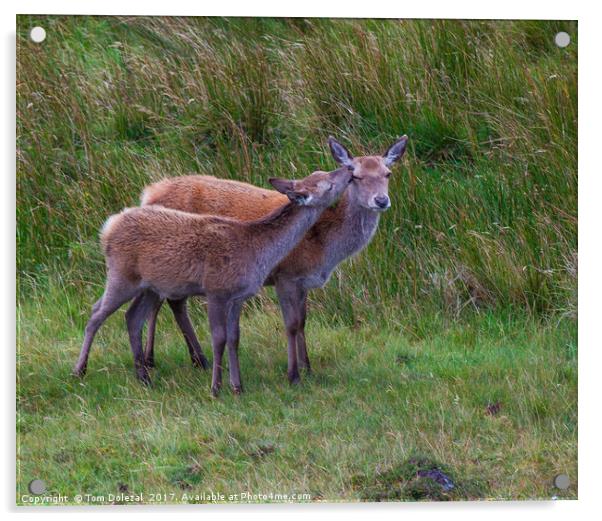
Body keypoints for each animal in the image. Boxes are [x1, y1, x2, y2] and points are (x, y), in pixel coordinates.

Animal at [71, 169, 352, 396]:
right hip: (122, 275)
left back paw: (144, 377)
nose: (348, 170)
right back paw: (79, 371)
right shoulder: (216, 289)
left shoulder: (239, 296)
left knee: (132, 317)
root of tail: (107, 227)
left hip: (149, 286)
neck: (257, 251)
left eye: (321, 172)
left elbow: (234, 338)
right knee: (96, 313)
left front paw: (238, 387)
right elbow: (218, 338)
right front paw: (216, 388)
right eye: (328, 183)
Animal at [141, 136, 408, 384]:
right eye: (357, 176)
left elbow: (303, 321)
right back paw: (156, 359)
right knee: (165, 302)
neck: (325, 249)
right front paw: (293, 374)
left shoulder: (303, 280)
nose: (381, 200)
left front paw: (308, 367)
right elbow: (291, 324)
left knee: (171, 302)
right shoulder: (285, 275)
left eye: (388, 173)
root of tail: (148, 194)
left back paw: (194, 359)